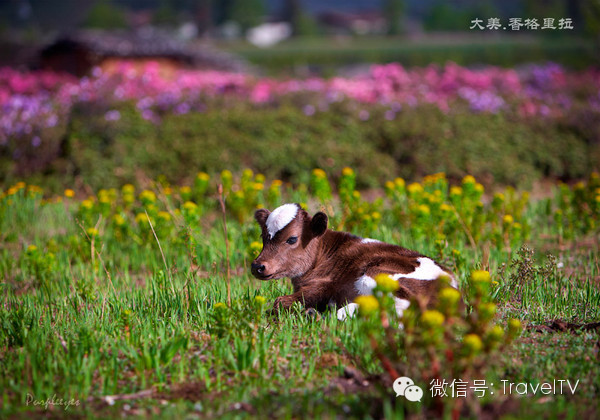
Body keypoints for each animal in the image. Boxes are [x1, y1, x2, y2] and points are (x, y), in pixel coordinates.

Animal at [251, 203, 458, 318]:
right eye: (263, 236)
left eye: (292, 239)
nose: (257, 266)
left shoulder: (325, 285)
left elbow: (280, 302)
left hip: (376, 275)